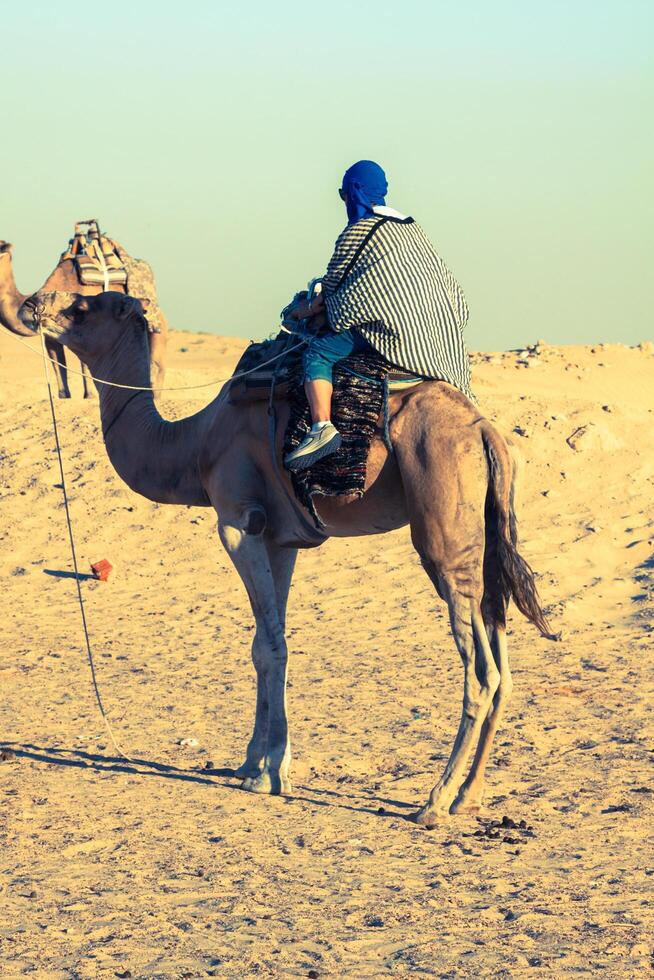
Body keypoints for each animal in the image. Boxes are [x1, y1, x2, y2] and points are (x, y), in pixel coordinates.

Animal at [0, 236, 169, 398]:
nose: (30, 305)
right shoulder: (50, 335)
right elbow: (58, 365)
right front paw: (64, 396)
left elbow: (86, 364)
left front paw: (90, 395)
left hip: (157, 326)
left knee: (156, 362)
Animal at [20, 288, 552, 824]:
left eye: (83, 306)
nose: (33, 303)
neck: (195, 443)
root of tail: (487, 435)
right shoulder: (281, 537)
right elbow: (264, 642)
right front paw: (252, 762)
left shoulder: (238, 520)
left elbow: (271, 646)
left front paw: (268, 774)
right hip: (487, 535)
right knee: (503, 663)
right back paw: (469, 794)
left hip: (443, 531)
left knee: (481, 671)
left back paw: (434, 801)